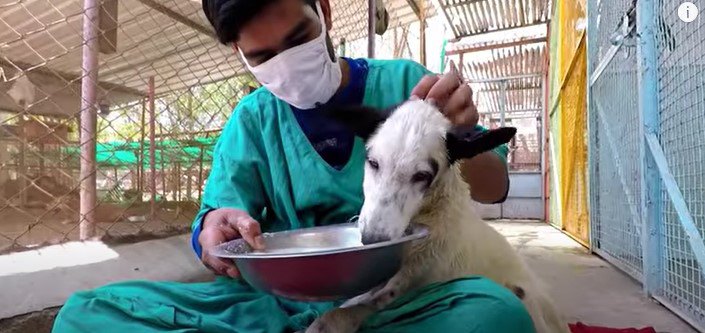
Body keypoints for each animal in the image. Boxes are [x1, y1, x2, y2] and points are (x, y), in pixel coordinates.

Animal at [306, 100, 568, 332]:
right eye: (373, 162)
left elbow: (368, 304)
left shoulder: (413, 280)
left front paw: (330, 321)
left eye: (422, 176)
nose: (371, 239)